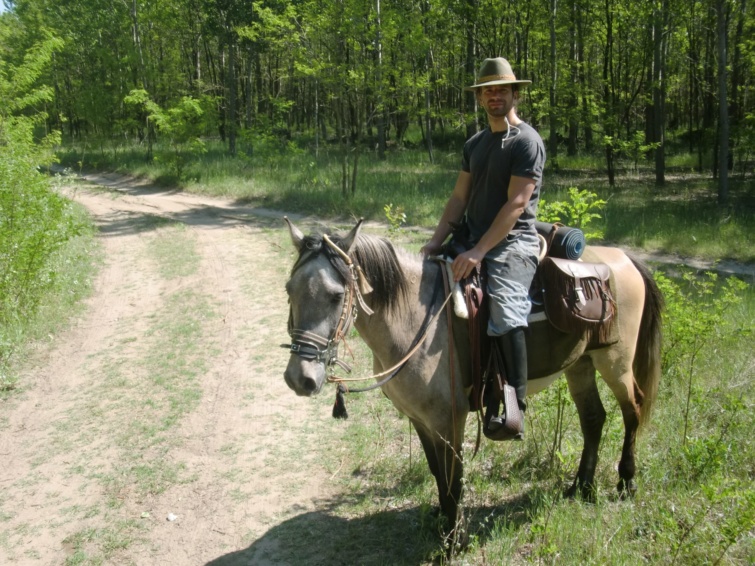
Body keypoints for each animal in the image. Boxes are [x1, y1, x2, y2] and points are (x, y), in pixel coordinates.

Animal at [282, 217, 663, 545]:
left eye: (335, 295)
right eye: (289, 290)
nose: (300, 378)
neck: (414, 318)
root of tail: (623, 258)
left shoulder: (450, 420)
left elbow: (454, 480)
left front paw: (454, 541)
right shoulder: (420, 419)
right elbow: (437, 472)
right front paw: (442, 521)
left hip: (615, 362)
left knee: (632, 409)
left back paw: (626, 481)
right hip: (581, 364)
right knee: (593, 418)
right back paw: (581, 487)